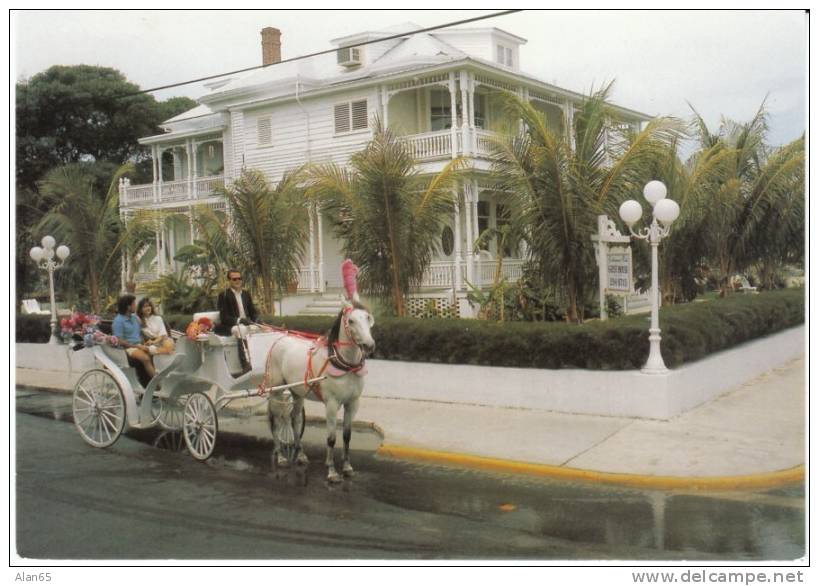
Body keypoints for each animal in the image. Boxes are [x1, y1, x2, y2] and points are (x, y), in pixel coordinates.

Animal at [262, 298, 376, 482]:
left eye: (367, 317)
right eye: (351, 321)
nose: (369, 345)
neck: (344, 364)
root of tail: (279, 340)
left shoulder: (352, 403)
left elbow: (347, 436)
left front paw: (347, 467)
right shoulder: (331, 404)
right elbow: (331, 438)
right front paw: (332, 471)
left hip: (297, 392)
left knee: (294, 419)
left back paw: (300, 454)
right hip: (276, 391)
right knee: (277, 421)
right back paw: (280, 456)